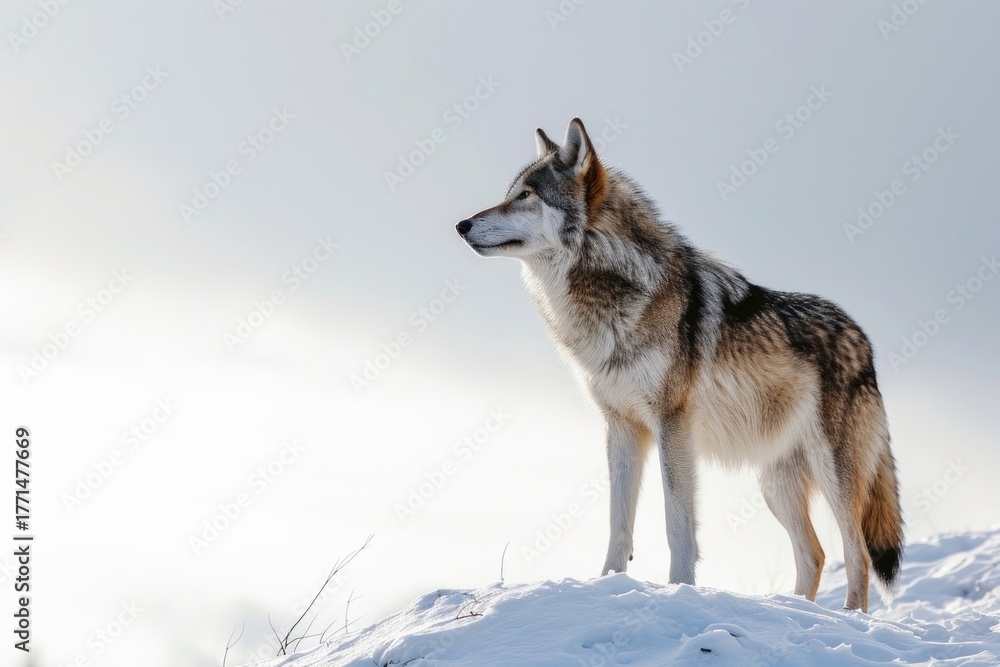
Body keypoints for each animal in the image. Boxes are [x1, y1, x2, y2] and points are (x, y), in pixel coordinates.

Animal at [455, 118, 904, 611]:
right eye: (510, 192)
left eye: (526, 195)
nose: (461, 224)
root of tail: (863, 339)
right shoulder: (622, 428)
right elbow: (618, 525)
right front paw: (608, 586)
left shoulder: (673, 426)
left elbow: (677, 525)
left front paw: (680, 589)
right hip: (775, 484)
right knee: (816, 554)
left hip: (833, 474)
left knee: (857, 554)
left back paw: (849, 619)